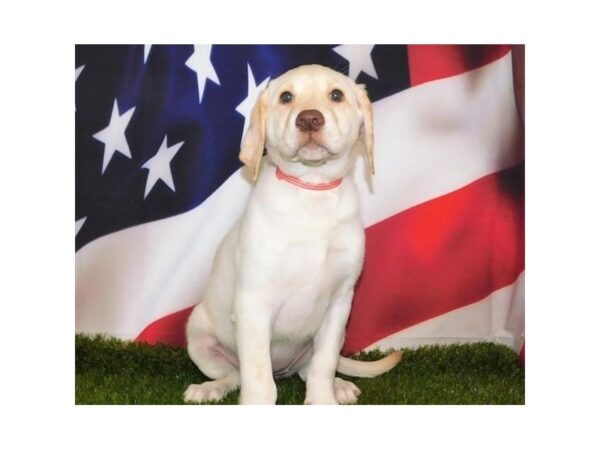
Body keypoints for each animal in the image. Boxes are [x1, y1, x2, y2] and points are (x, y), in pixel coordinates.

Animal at [185, 63, 400, 404]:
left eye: (336, 95)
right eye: (286, 97)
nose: (309, 118)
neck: (312, 191)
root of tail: (283, 369)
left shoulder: (339, 304)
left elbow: (324, 364)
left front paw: (323, 399)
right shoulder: (254, 303)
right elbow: (258, 376)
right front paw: (257, 403)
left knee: (308, 369)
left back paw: (339, 385)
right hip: (199, 337)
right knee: (234, 375)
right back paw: (209, 389)